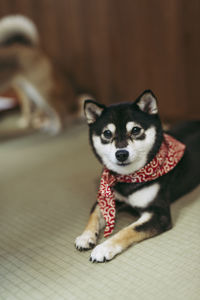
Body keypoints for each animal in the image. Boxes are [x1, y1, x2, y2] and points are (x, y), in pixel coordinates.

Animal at [75, 90, 200, 262]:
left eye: (135, 130)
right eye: (107, 133)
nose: (121, 154)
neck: (127, 178)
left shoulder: (159, 214)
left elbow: (128, 230)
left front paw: (104, 247)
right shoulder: (107, 196)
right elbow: (93, 214)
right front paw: (85, 236)